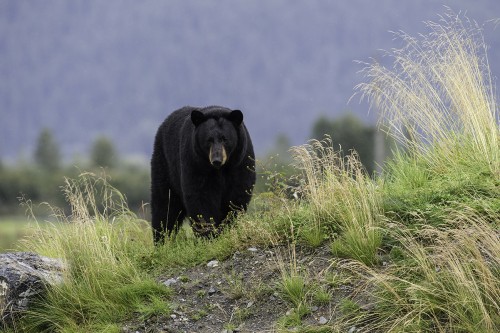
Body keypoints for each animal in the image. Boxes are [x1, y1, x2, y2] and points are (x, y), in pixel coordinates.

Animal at [150, 105, 256, 243]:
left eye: (225, 139)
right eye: (209, 140)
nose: (217, 160)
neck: (221, 169)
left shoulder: (240, 163)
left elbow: (237, 196)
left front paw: (226, 229)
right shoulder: (195, 164)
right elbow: (200, 198)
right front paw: (208, 235)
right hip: (164, 165)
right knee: (164, 206)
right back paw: (161, 240)